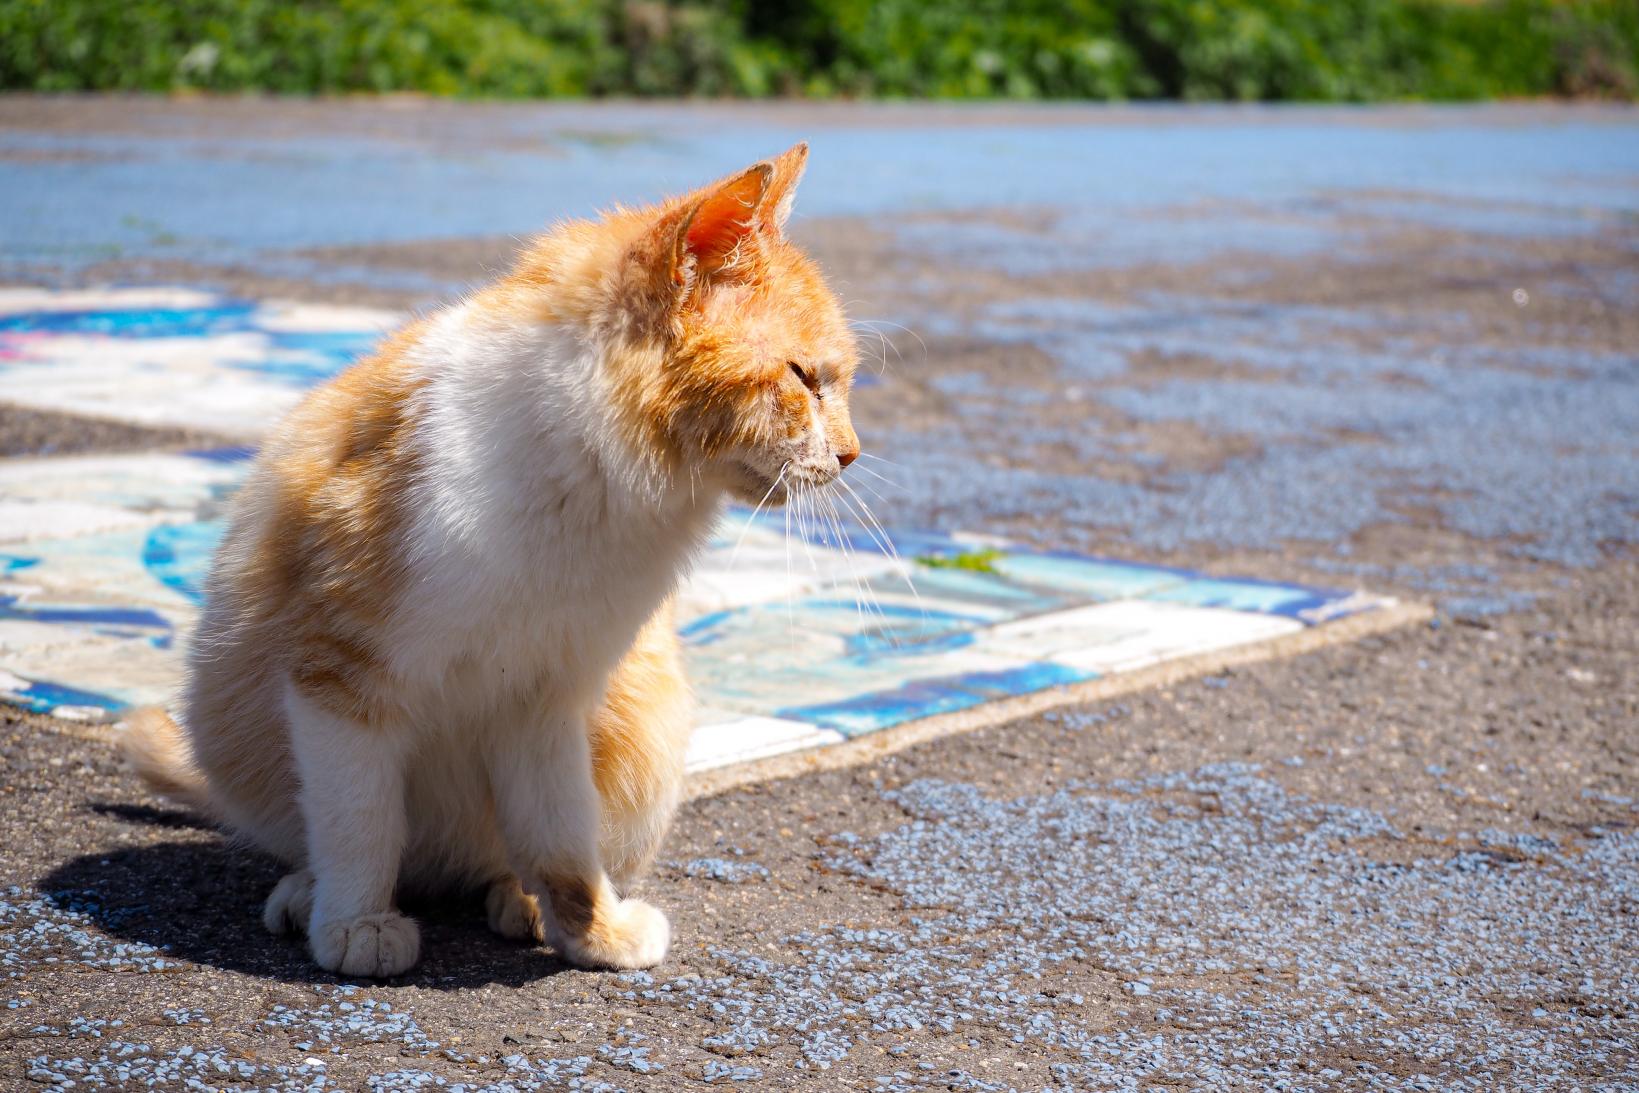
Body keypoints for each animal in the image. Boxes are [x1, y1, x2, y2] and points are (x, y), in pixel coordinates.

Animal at [122, 143, 865, 976]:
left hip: (651, 721)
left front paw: (589, 926)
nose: (851, 454)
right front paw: (354, 918)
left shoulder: (545, 696)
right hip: (227, 712)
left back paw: (517, 895)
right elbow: (358, 814)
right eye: (803, 378)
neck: (582, 478)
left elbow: (561, 828)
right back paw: (310, 889)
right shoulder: (336, 673)